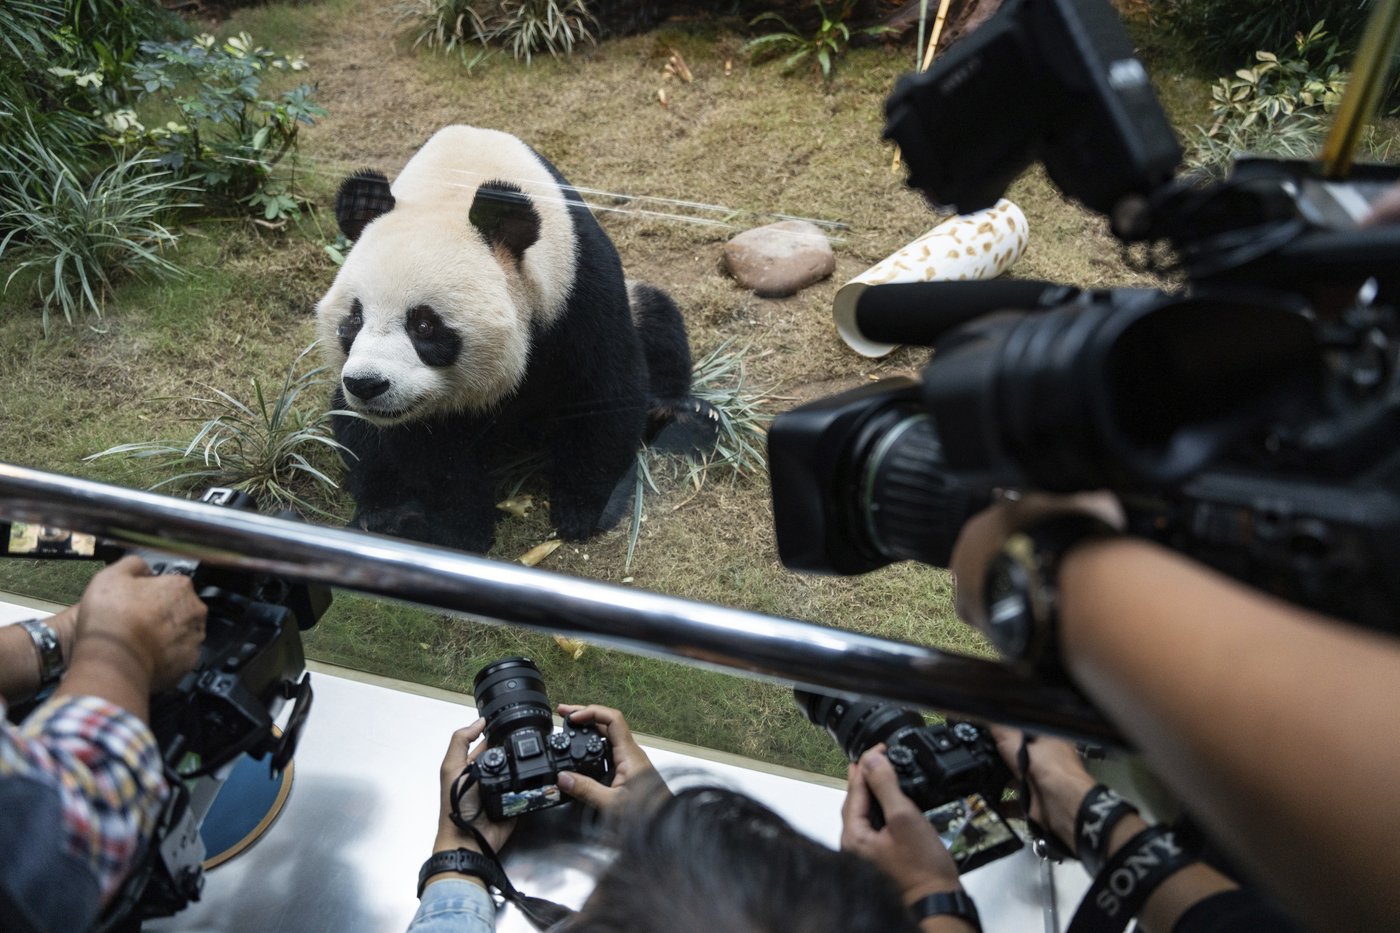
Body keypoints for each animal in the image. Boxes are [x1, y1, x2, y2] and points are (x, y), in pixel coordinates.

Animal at [315, 125, 714, 552]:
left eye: (423, 325)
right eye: (354, 319)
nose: (367, 384)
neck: (455, 183)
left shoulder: (576, 285)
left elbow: (602, 390)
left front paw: (584, 511)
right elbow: (427, 449)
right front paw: (457, 529)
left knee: (657, 318)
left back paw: (682, 415)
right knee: (355, 432)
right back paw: (383, 518)